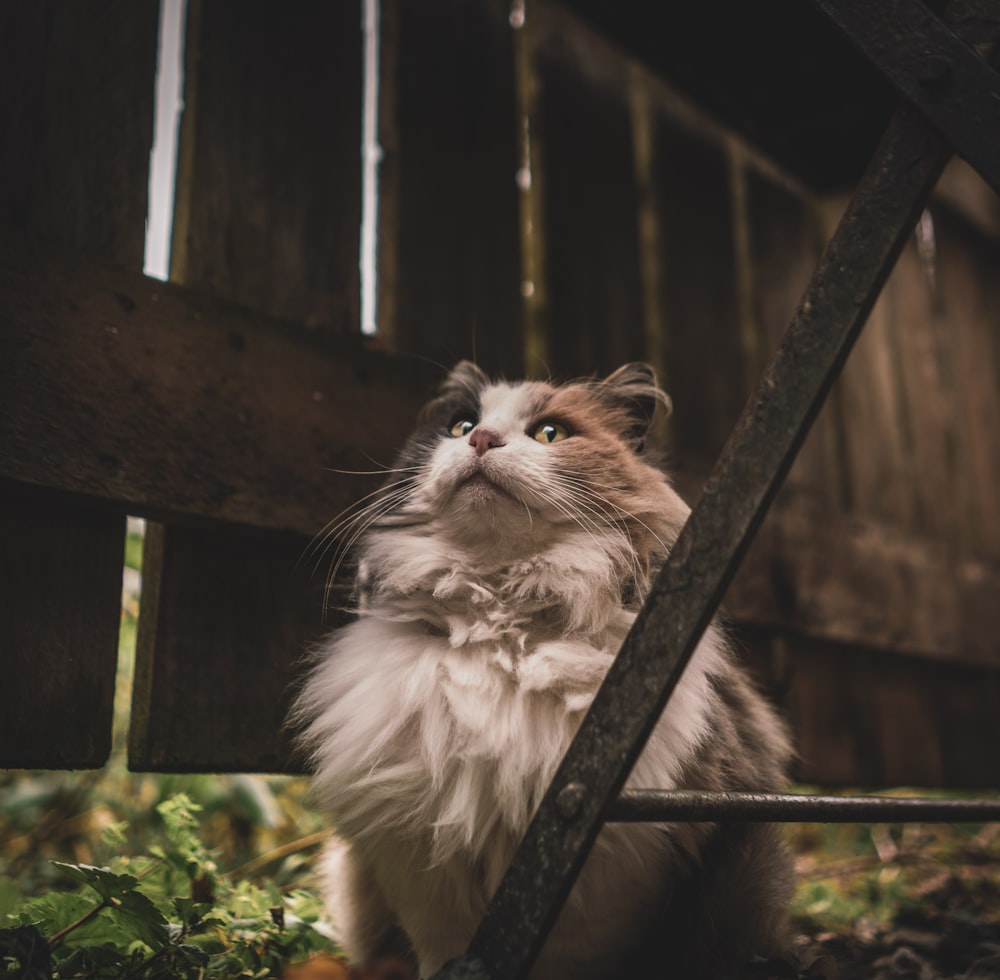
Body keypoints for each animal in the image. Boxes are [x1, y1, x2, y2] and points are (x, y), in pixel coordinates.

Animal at [292, 362, 796, 980]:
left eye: (550, 433)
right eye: (461, 426)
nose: (482, 441)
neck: (498, 624)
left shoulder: (608, 883)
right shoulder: (424, 877)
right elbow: (441, 950)